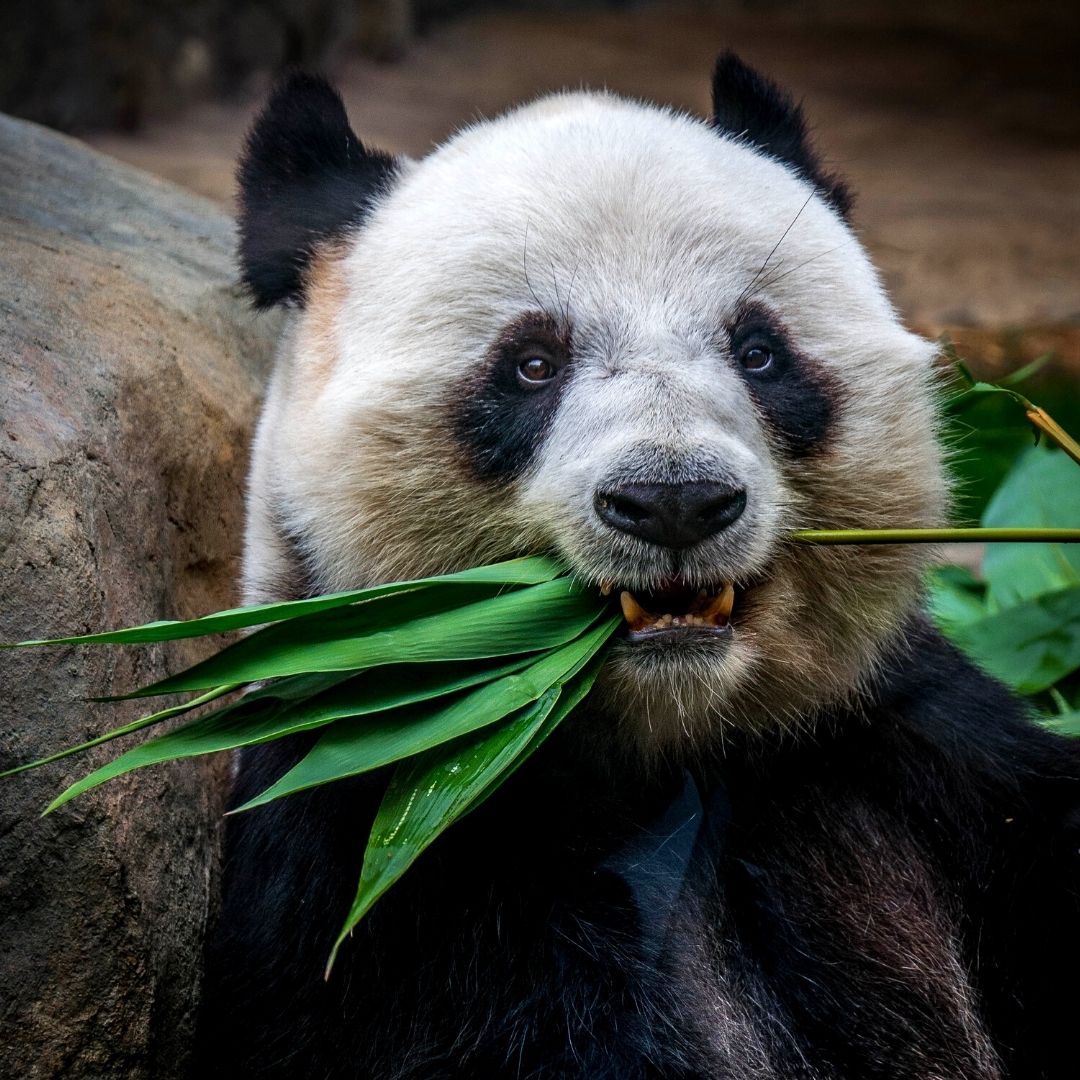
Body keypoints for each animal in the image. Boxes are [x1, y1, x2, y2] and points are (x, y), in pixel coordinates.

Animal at [198, 54, 1080, 1075]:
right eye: (532, 364)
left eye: (758, 350)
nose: (674, 501)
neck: (663, 743)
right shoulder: (384, 842)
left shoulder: (910, 750)